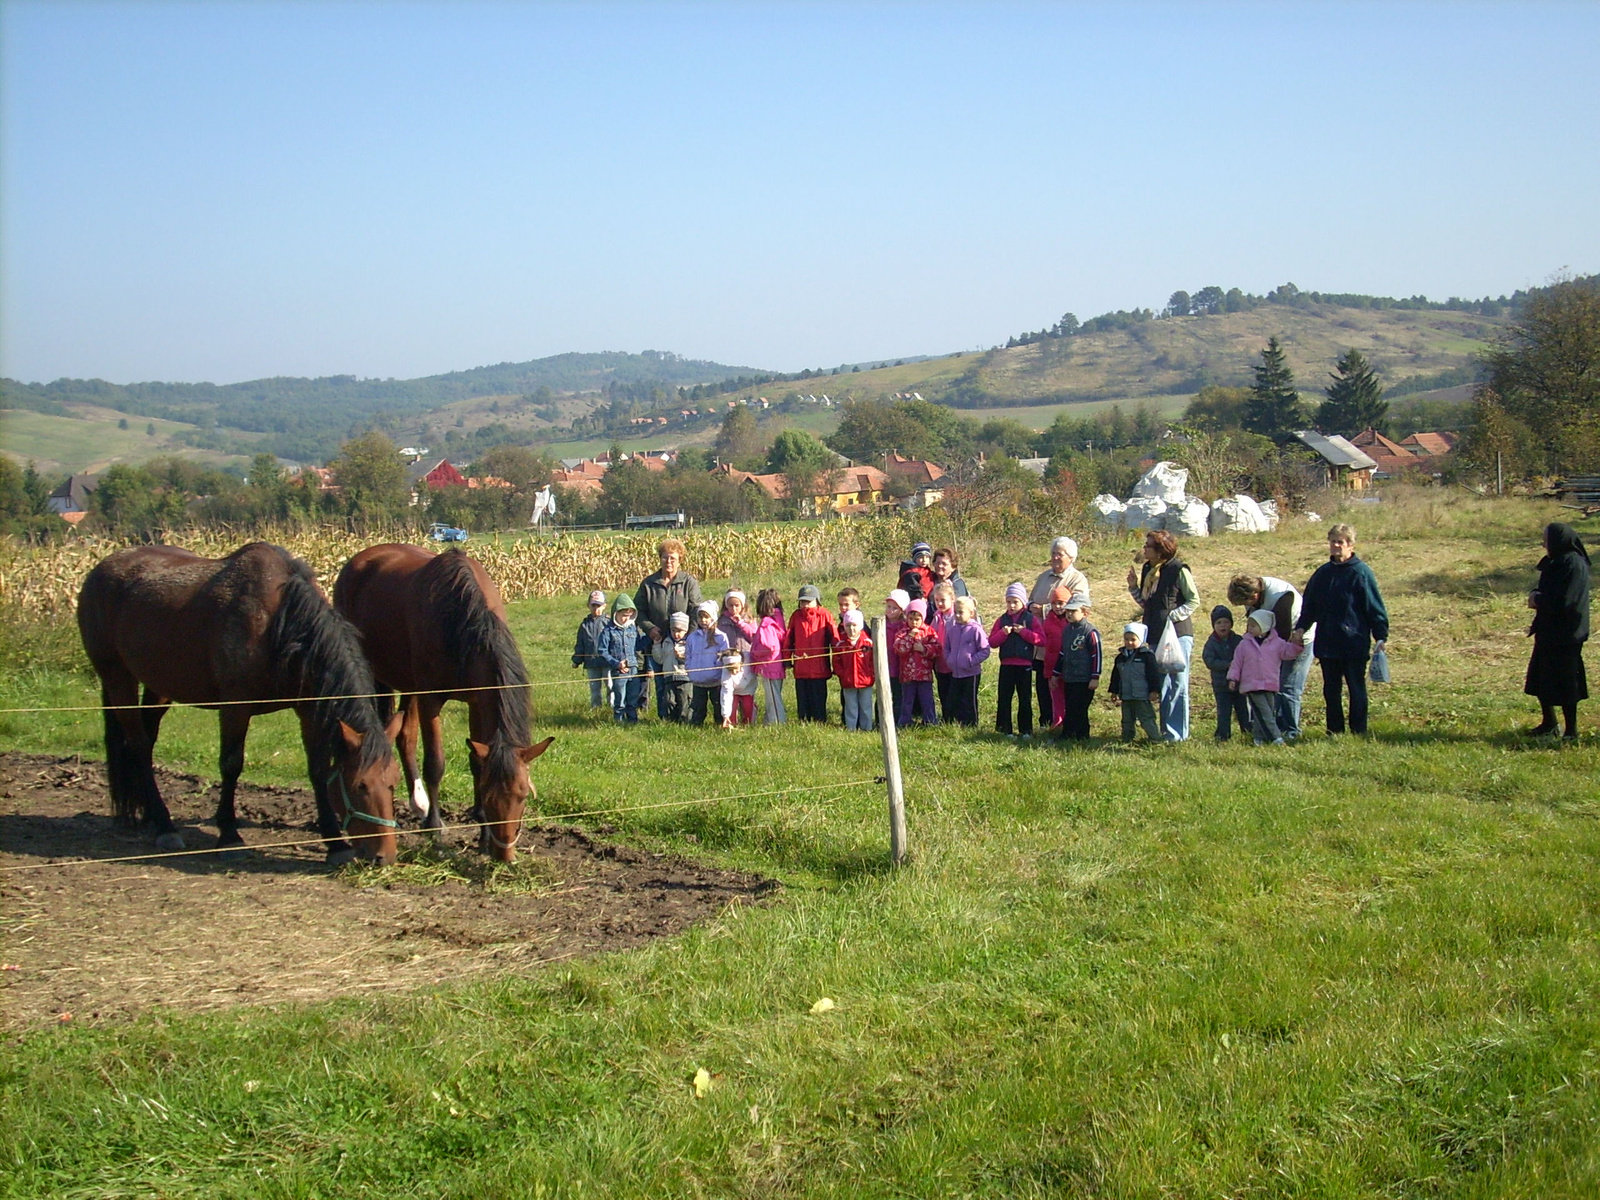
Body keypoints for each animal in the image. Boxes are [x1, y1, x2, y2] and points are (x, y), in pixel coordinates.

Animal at [77, 544, 403, 864]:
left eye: (392, 782)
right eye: (360, 785)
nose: (384, 856)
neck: (278, 624)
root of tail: (99, 570)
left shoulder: (308, 707)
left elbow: (318, 769)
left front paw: (336, 844)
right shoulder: (235, 706)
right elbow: (231, 765)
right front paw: (229, 835)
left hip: (158, 685)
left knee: (146, 740)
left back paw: (150, 816)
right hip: (117, 677)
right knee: (139, 744)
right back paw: (165, 826)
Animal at [331, 544, 550, 864]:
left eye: (523, 795)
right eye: (490, 795)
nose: (503, 854)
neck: (461, 623)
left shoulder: (477, 701)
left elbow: (476, 761)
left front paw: (482, 833)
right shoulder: (430, 699)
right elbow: (435, 763)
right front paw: (435, 828)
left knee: (405, 736)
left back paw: (418, 802)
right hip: (378, 677)